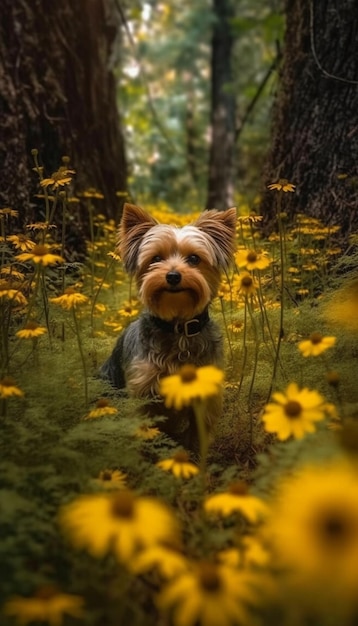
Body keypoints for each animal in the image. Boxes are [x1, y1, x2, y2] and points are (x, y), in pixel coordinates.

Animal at [99, 204, 236, 444]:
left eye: (194, 259)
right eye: (155, 258)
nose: (173, 276)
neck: (178, 327)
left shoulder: (204, 397)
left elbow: (198, 435)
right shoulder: (143, 392)